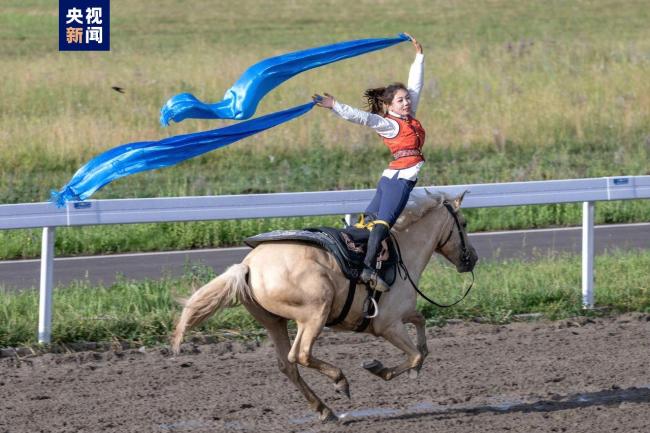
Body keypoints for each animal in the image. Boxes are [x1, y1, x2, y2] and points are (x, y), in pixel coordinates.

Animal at [171, 189, 476, 418]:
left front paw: (415, 371)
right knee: (300, 355)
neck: (401, 253)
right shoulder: (388, 325)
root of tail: (248, 266)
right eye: (463, 224)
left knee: (287, 365)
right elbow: (413, 354)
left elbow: (421, 329)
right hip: (314, 314)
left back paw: (324, 410)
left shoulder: (403, 313)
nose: (471, 258)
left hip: (274, 322)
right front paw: (379, 368)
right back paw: (340, 382)